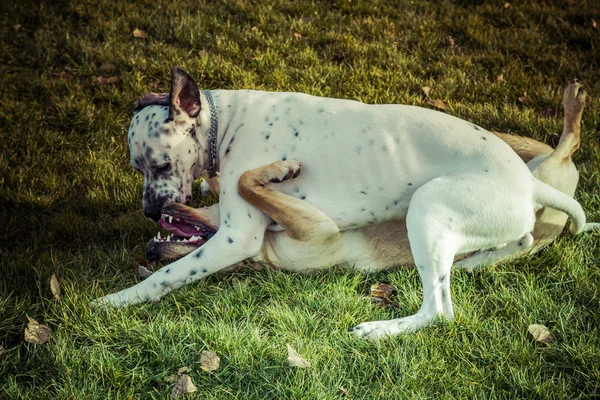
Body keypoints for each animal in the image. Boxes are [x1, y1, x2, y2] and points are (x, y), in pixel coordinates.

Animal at [94, 67, 584, 340]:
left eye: (159, 163)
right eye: (136, 166)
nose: (151, 213)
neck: (224, 123)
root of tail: (529, 184)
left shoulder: (237, 237)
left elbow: (169, 273)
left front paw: (118, 299)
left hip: (426, 206)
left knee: (440, 311)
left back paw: (380, 330)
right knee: (516, 241)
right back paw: (477, 261)